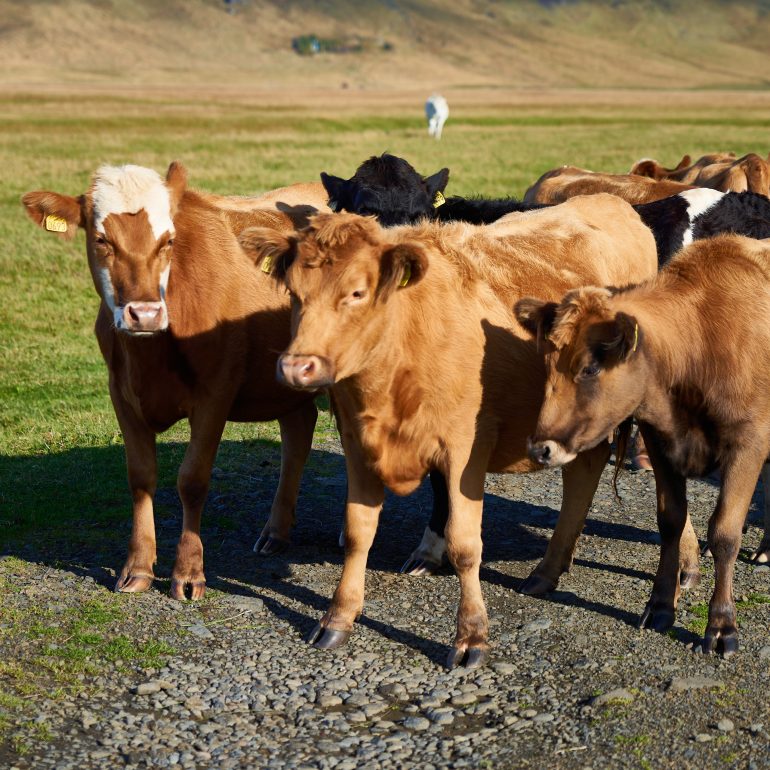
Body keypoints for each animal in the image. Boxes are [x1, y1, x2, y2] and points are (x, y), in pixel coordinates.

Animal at [22, 163, 330, 600]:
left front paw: (188, 573)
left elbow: (192, 479)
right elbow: (140, 477)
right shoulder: (121, 392)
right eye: (101, 240)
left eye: (168, 240)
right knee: (298, 435)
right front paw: (137, 567)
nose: (145, 314)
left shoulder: (215, 394)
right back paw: (276, 531)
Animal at [237, 196, 662, 666]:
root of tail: (610, 200)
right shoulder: (357, 442)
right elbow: (358, 533)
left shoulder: (465, 450)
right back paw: (550, 569)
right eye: (295, 294)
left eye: (356, 293)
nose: (297, 367)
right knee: (584, 470)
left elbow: (465, 545)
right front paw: (339, 617)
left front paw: (471, 635)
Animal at [516, 234, 770, 655]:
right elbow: (671, 522)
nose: (541, 449)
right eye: (549, 365)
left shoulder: (747, 444)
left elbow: (724, 534)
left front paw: (721, 625)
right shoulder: (660, 441)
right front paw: (661, 606)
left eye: (590, 368)